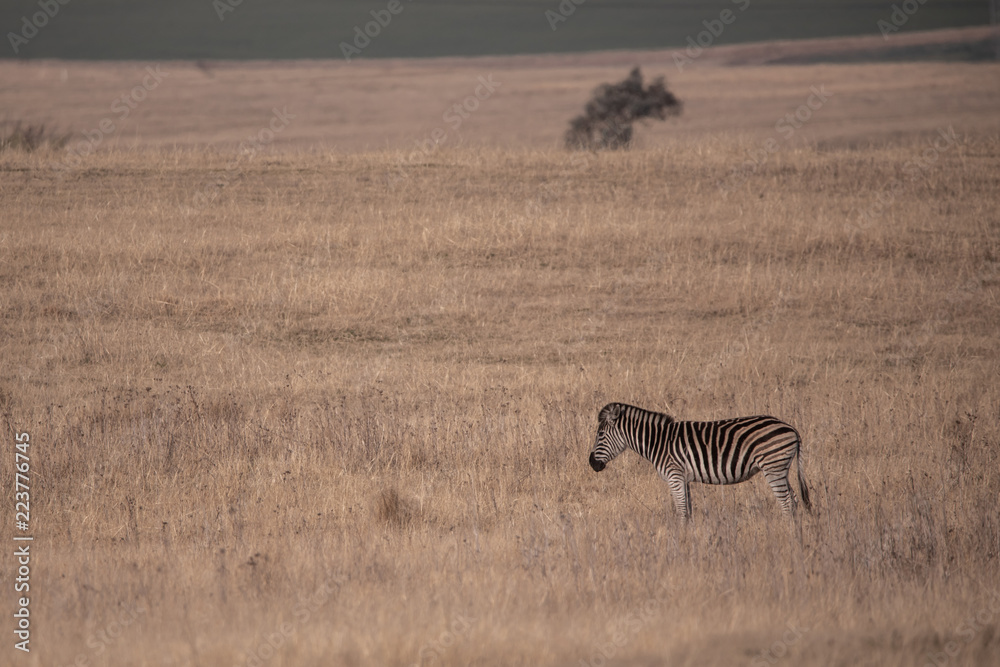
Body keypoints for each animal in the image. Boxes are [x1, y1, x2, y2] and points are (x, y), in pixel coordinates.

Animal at [589, 402, 811, 520]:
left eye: (600, 434)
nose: (592, 464)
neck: (658, 442)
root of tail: (791, 428)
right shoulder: (683, 479)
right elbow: (688, 511)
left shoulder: (674, 476)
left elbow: (681, 512)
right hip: (781, 469)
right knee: (794, 499)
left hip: (773, 467)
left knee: (786, 502)